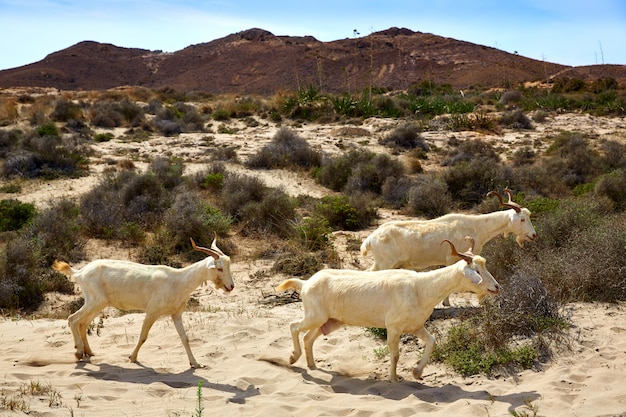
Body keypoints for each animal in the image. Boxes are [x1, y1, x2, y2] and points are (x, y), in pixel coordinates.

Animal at [52, 237, 233, 368]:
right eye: (219, 268)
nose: (231, 286)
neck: (177, 280)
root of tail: (80, 272)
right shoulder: (152, 312)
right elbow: (143, 336)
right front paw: (132, 357)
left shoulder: (176, 314)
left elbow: (184, 338)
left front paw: (195, 363)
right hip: (95, 301)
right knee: (72, 319)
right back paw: (78, 353)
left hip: (98, 304)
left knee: (82, 323)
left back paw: (89, 352)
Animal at [276, 237, 500, 380]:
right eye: (476, 270)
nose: (496, 287)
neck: (420, 288)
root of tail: (305, 283)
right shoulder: (393, 327)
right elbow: (395, 355)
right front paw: (394, 380)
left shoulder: (415, 326)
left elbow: (432, 341)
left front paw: (417, 372)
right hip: (314, 316)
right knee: (294, 326)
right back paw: (293, 357)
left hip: (328, 321)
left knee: (308, 337)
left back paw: (312, 365)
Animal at [358, 187, 532, 304]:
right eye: (522, 219)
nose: (533, 235)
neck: (475, 226)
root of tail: (370, 238)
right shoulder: (452, 259)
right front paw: (446, 303)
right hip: (384, 263)